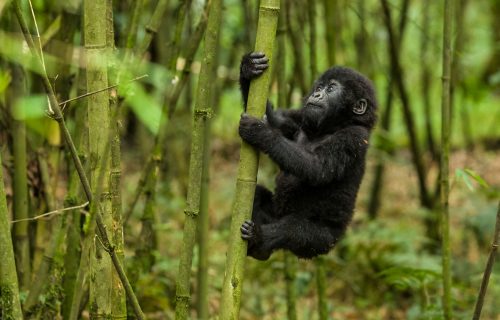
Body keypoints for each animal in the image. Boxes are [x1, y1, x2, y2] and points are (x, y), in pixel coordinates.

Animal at [237, 50, 376, 260]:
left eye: (331, 89)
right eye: (319, 87)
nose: (316, 94)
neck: (332, 127)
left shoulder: (354, 137)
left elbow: (317, 167)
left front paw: (260, 132)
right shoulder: (300, 118)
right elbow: (275, 120)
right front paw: (249, 67)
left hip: (322, 242)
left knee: (293, 230)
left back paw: (259, 238)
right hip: (275, 214)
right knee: (258, 195)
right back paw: (260, 250)